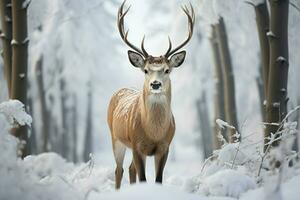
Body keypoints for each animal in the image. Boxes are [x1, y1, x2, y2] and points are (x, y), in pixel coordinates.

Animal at [107, 0, 195, 189]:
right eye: (146, 70)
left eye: (167, 70)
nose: (155, 84)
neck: (153, 133)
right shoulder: (137, 145)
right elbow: (143, 178)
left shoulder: (164, 147)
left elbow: (157, 180)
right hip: (116, 137)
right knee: (119, 170)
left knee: (130, 169)